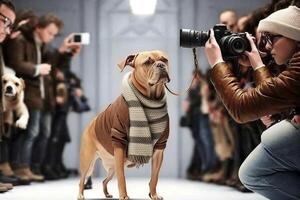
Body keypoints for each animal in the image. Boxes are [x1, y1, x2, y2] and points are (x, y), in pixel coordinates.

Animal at [78, 50, 171, 200]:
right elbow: (122, 178)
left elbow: (154, 177)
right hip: (88, 162)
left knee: (104, 180)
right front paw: (124, 196)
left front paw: (153, 194)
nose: (161, 65)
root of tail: (90, 125)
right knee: (82, 179)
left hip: (112, 167)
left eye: (165, 59)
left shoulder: (160, 147)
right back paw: (80, 195)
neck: (150, 100)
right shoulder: (119, 142)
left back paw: (107, 194)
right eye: (148, 62)